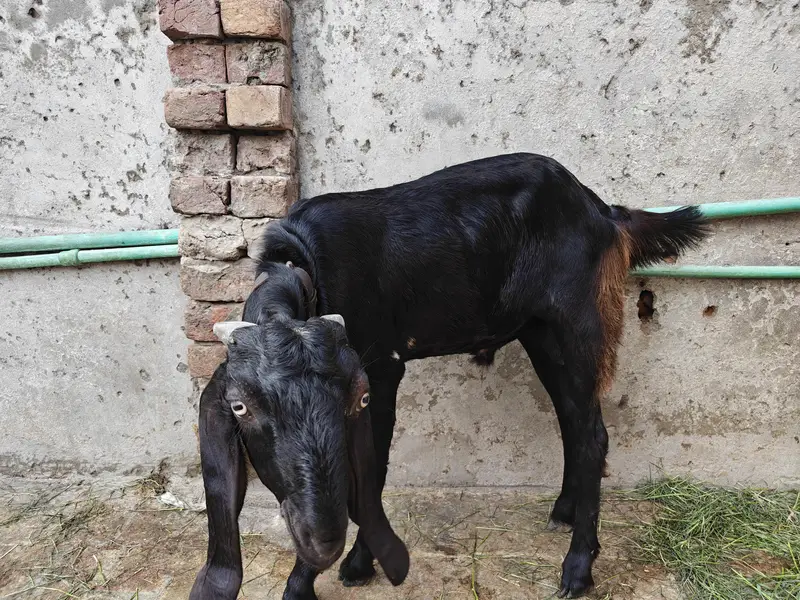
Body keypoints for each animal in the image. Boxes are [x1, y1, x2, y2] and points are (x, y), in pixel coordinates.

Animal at [189, 153, 709, 600]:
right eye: (240, 407)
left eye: (348, 401)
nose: (320, 541)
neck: (302, 264)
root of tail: (600, 210)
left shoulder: (382, 367)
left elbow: (373, 469)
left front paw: (337, 570)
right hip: (539, 332)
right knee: (571, 421)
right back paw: (564, 511)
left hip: (578, 321)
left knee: (593, 433)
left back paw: (579, 567)